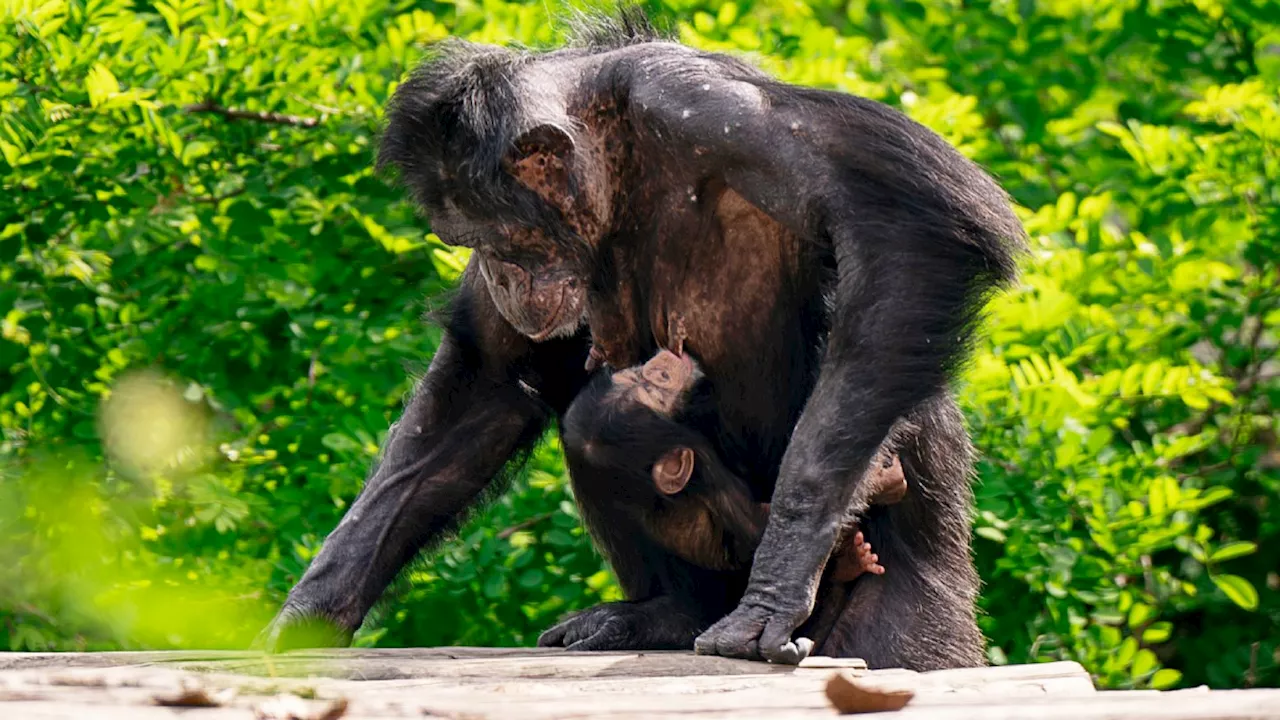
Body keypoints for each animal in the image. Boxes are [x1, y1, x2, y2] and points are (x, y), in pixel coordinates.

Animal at [565, 313, 906, 576]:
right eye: (653, 397)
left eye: (637, 379)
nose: (657, 370)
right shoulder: (699, 458)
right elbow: (761, 529)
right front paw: (881, 479)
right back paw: (853, 562)